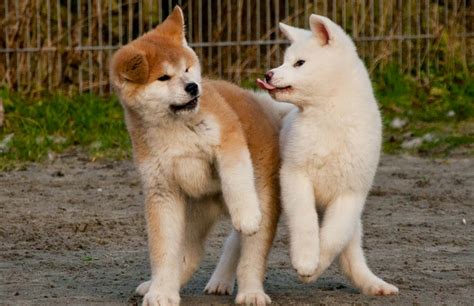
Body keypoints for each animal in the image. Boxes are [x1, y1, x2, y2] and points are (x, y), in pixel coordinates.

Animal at [110, 5, 282, 304]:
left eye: (187, 69)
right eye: (164, 77)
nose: (192, 87)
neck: (176, 128)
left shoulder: (229, 141)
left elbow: (236, 180)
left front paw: (246, 215)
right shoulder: (162, 191)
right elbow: (163, 252)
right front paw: (161, 292)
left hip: (263, 199)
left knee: (251, 256)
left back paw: (251, 292)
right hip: (193, 213)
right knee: (192, 254)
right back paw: (161, 284)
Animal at [258, 14, 398, 296]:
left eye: (299, 63)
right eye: (285, 60)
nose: (268, 74)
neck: (328, 117)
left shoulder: (352, 193)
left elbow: (332, 238)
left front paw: (311, 270)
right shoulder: (295, 176)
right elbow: (305, 222)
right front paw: (305, 260)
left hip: (353, 219)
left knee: (350, 251)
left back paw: (375, 285)